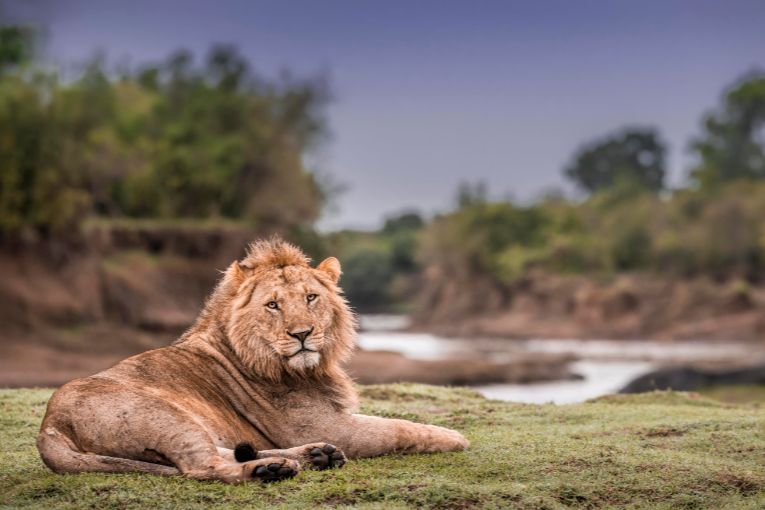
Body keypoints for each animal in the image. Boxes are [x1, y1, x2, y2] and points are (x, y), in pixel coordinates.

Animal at [37, 238, 468, 483]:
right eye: (273, 305)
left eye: (311, 298)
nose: (302, 334)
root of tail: (48, 427)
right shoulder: (330, 425)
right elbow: (400, 428)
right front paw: (456, 437)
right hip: (166, 417)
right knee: (202, 467)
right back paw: (270, 470)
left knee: (226, 451)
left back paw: (315, 456)